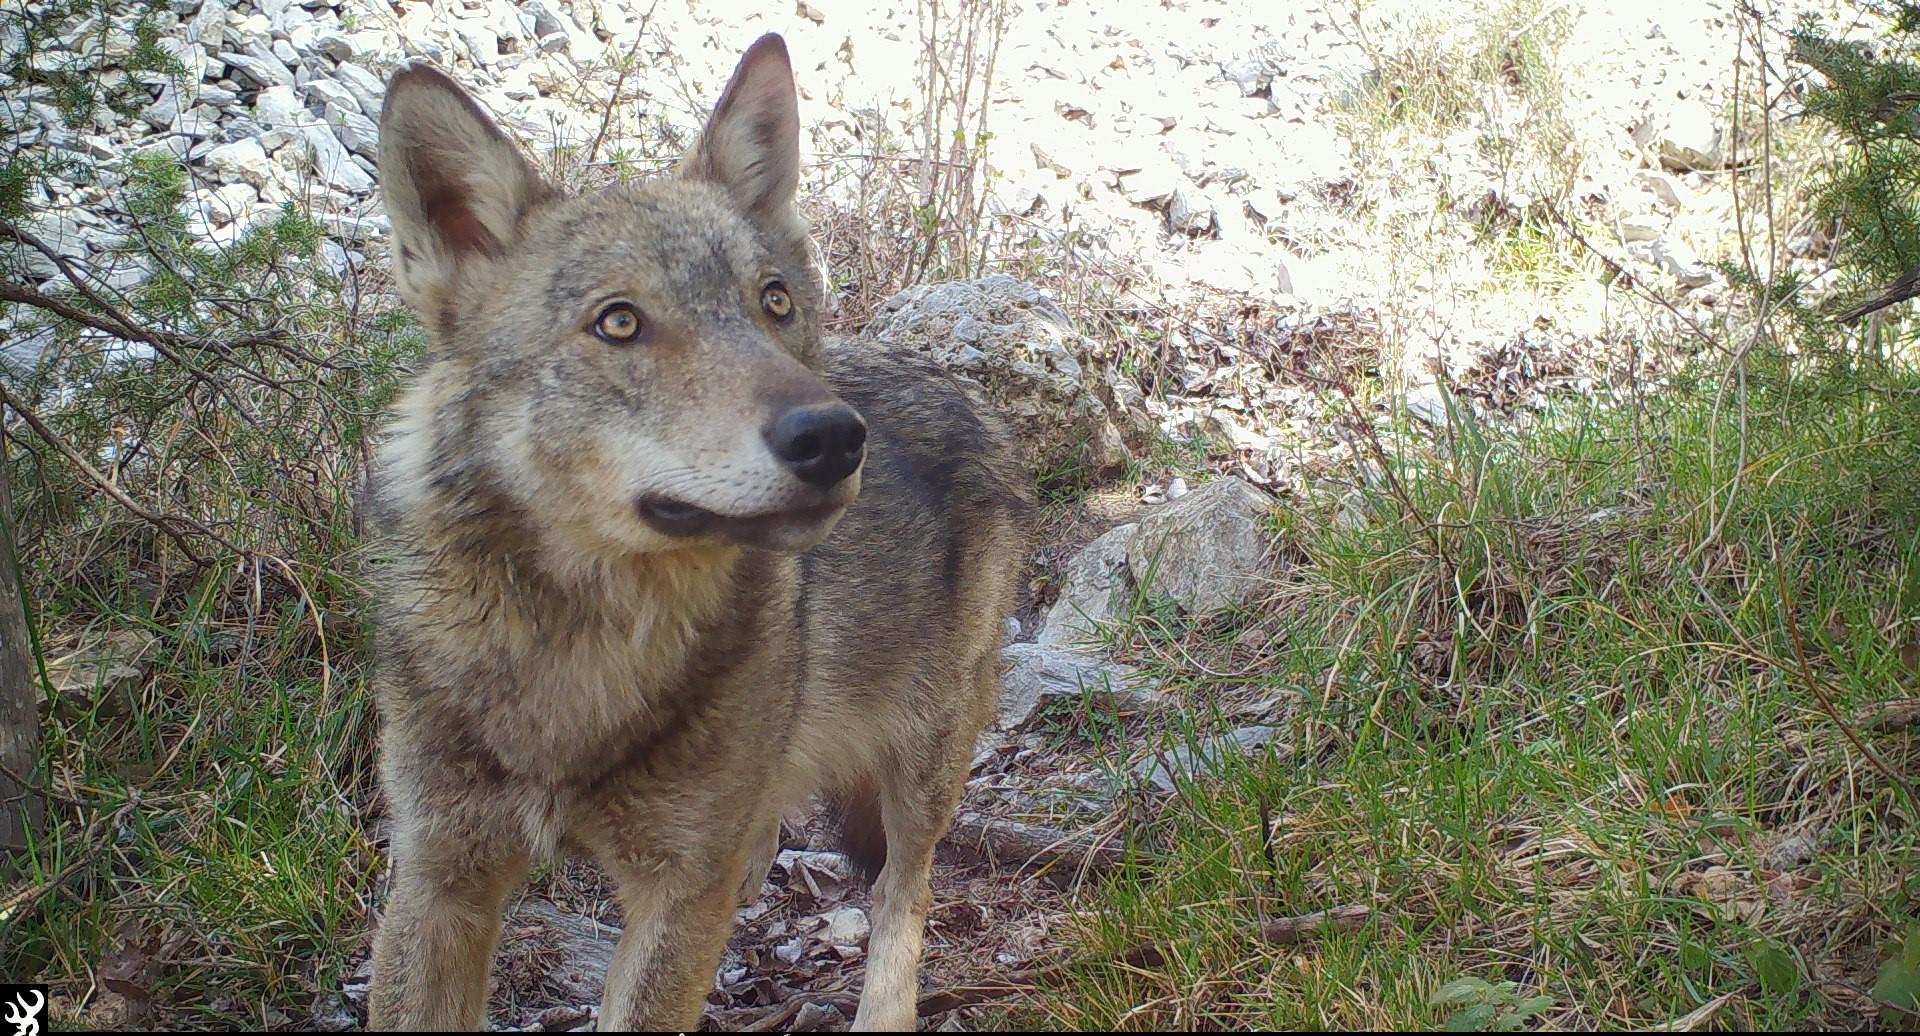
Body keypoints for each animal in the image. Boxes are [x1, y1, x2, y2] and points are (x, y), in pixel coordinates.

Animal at [364, 32, 1033, 1032]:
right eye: (619, 322)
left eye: (774, 303)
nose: (834, 438)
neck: (581, 658)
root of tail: (963, 389)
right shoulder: (438, 879)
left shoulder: (676, 893)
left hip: (927, 761)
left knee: (902, 892)